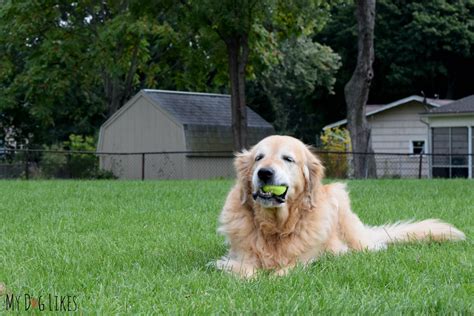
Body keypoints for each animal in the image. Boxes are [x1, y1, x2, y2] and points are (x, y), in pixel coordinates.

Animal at [216, 135, 466, 278]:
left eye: (288, 159)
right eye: (259, 157)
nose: (264, 173)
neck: (277, 227)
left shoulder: (314, 255)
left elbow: (293, 267)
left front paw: (277, 275)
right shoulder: (239, 257)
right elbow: (247, 272)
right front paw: (255, 277)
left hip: (342, 203)